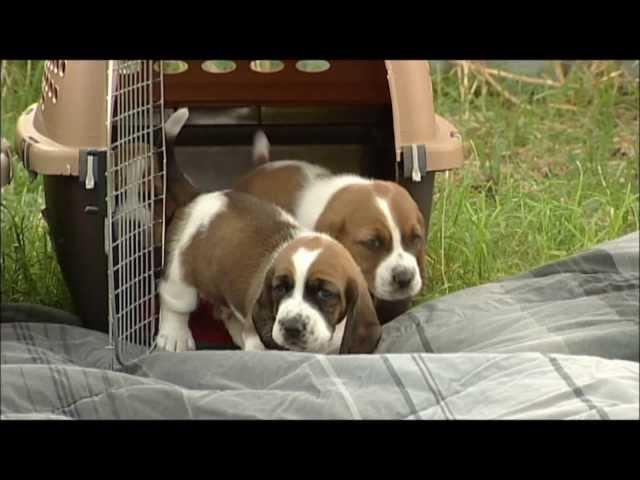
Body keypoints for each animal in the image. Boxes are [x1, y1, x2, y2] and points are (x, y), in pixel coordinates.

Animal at [155, 190, 380, 352]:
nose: (291, 327)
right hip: (180, 274)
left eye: (325, 293)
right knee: (176, 305)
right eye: (280, 288)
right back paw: (174, 336)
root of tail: (199, 200)